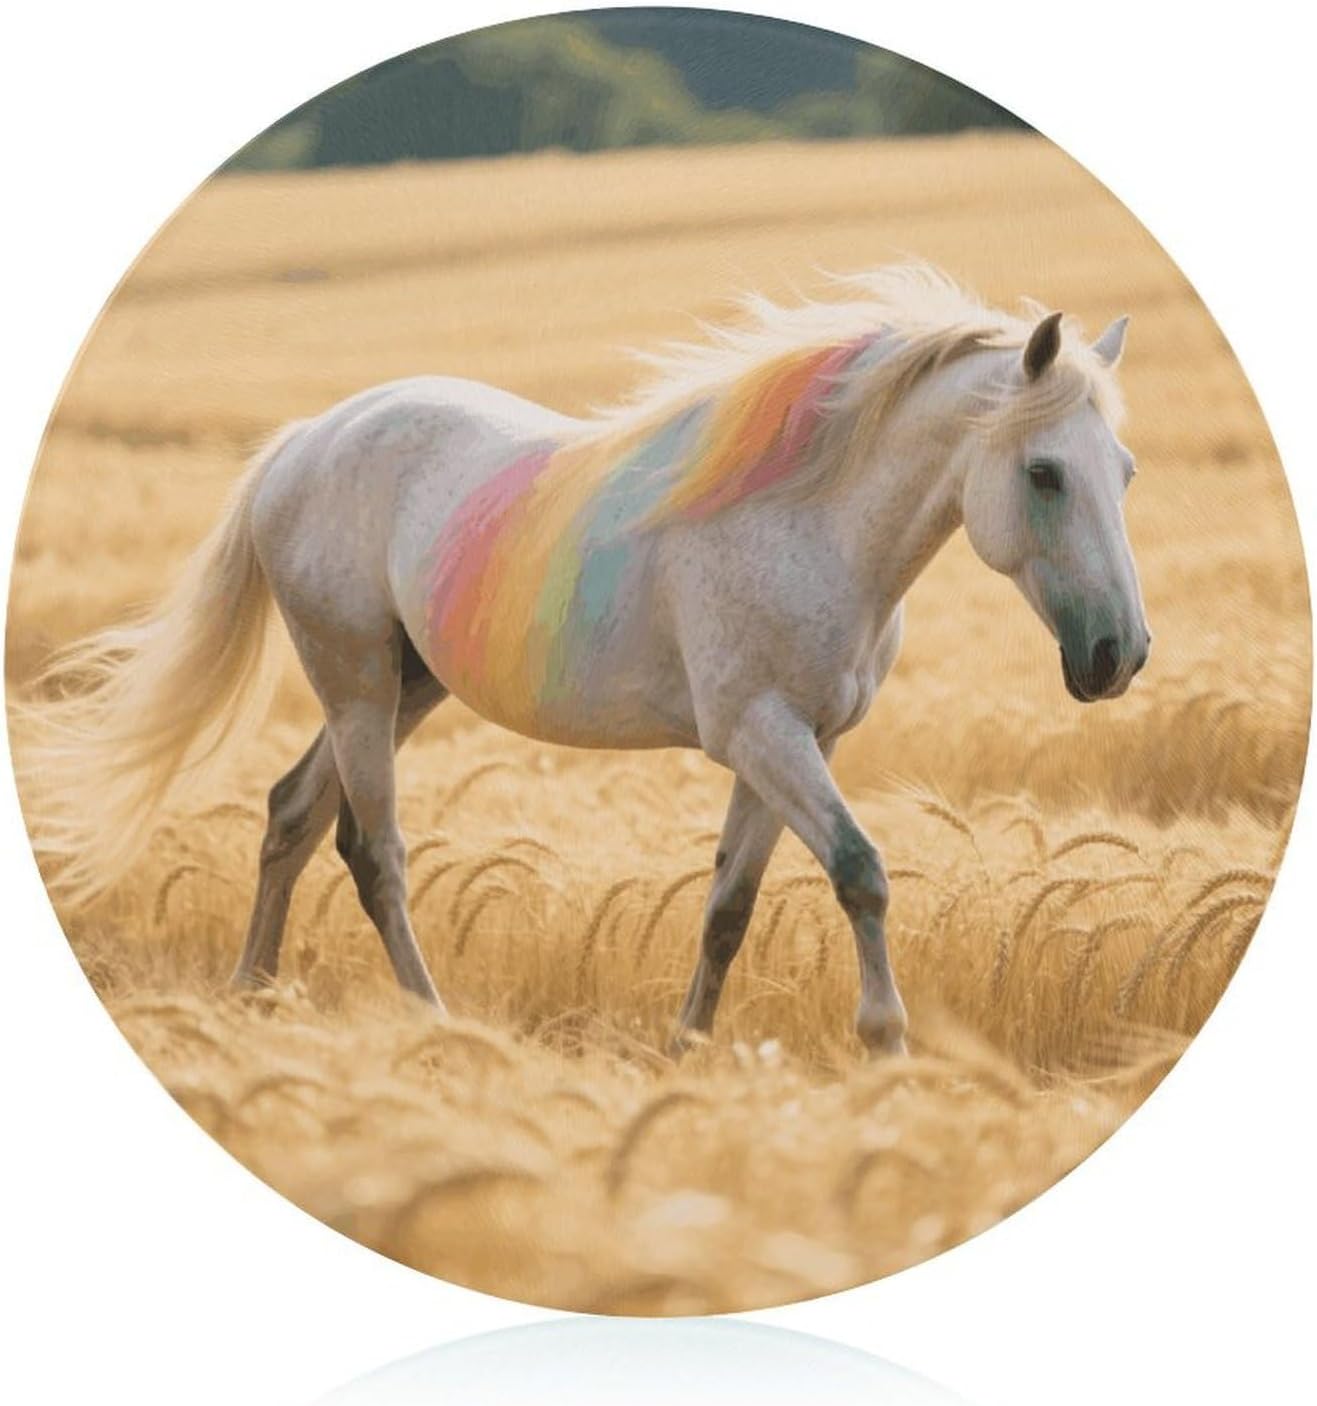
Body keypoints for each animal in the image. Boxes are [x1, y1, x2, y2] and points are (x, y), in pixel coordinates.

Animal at [22, 265, 1149, 1056]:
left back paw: (252, 1000)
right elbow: (860, 871)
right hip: (356, 685)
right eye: (1044, 473)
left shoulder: (797, 741)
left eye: (1124, 470)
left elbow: (730, 907)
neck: (810, 521)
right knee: (374, 851)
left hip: (404, 686)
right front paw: (886, 1045)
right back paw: (434, 1024)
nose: (1120, 654)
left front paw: (687, 1052)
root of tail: (304, 442)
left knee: (292, 815)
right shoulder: (761, 730)